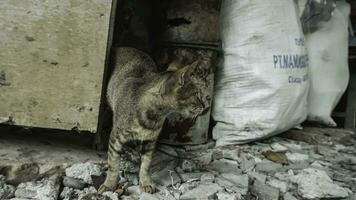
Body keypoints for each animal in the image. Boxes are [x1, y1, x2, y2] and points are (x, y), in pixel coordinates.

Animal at [98, 47, 213, 194]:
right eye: (196, 94)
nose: (204, 106)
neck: (155, 116)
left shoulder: (151, 141)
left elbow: (146, 164)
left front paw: (145, 182)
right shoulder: (116, 137)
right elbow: (113, 163)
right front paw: (109, 184)